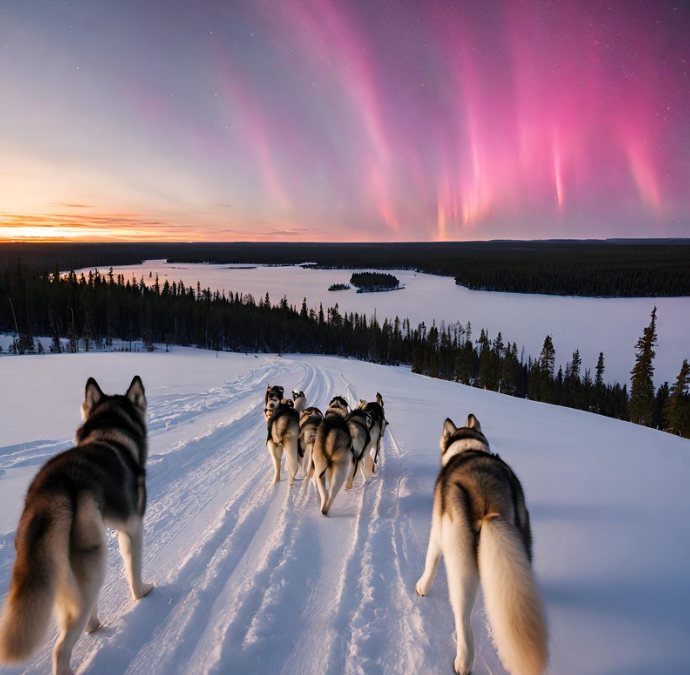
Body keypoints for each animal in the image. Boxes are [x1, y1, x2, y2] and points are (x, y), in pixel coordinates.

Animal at [0, 378, 152, 675]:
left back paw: (94, 625)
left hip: (61, 570)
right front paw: (142, 595)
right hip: (94, 566)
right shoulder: (132, 529)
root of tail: (54, 488)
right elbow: (134, 573)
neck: (110, 433)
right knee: (61, 647)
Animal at [412, 418, 544, 675]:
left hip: (460, 563)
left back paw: (463, 661)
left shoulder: (437, 532)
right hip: (522, 543)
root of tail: (488, 501)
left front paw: (422, 587)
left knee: (462, 615)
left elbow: (430, 562)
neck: (467, 449)